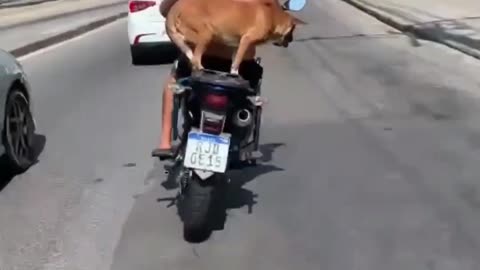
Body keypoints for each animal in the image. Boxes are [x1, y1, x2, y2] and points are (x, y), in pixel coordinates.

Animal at [165, 0, 306, 74]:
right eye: (292, 31)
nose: (292, 40)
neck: (272, 16)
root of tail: (176, 7)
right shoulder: (246, 40)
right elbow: (237, 61)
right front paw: (234, 74)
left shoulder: (237, 45)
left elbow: (234, 60)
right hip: (206, 35)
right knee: (193, 52)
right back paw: (200, 67)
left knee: (189, 51)